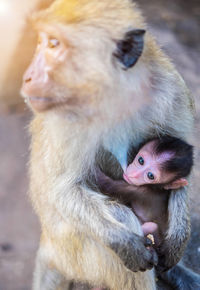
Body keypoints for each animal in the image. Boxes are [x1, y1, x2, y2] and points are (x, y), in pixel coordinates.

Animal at [21, 0, 196, 288]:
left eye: (54, 44)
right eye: (43, 42)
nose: (28, 76)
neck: (113, 94)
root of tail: (49, 245)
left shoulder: (170, 91)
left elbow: (185, 169)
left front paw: (180, 234)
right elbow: (63, 190)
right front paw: (124, 242)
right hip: (76, 255)